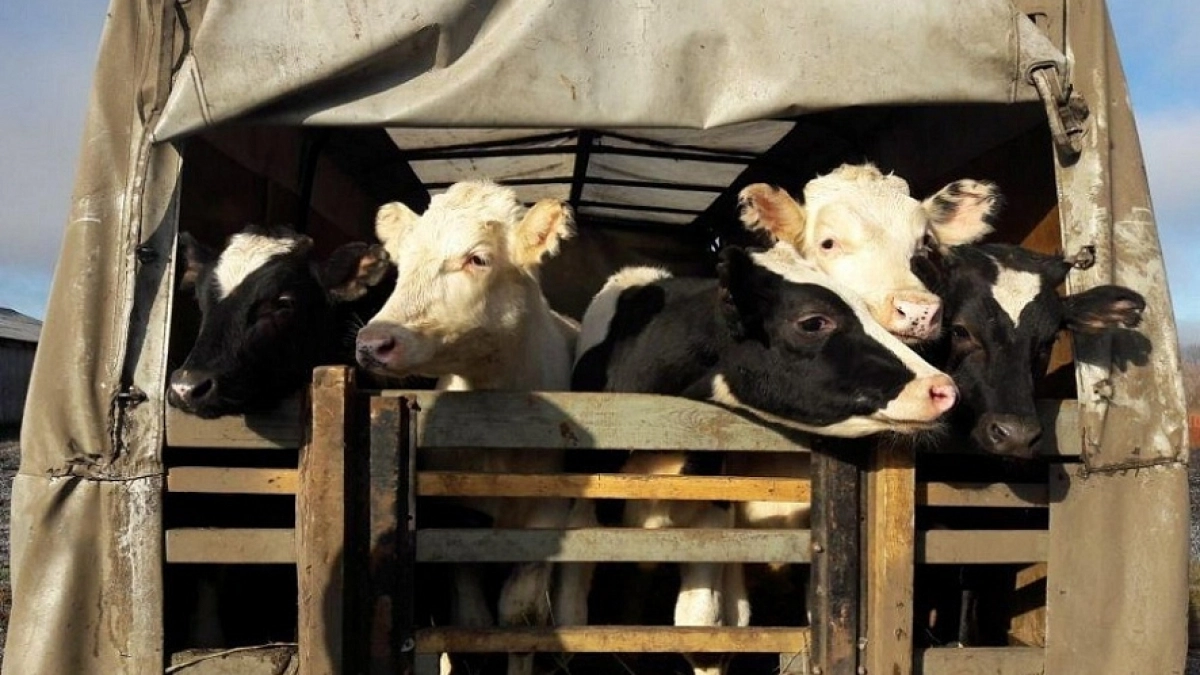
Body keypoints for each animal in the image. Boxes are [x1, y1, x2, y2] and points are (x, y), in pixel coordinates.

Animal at [354, 180, 589, 675]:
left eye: (477, 259)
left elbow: (520, 617)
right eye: (402, 263)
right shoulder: (457, 513)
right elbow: (469, 619)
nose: (373, 343)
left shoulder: (548, 513)